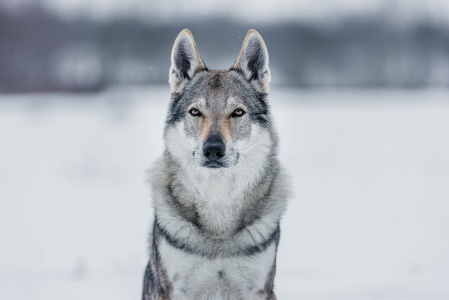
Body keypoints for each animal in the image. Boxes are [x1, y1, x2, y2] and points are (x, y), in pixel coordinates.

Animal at [141, 28, 290, 300]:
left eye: (238, 112)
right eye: (195, 112)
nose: (212, 150)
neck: (217, 199)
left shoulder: (258, 289)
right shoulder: (176, 289)